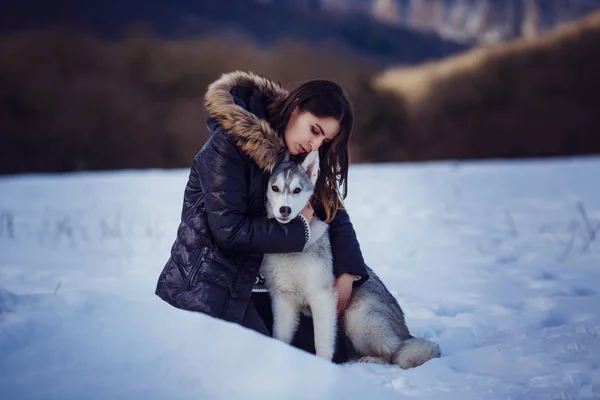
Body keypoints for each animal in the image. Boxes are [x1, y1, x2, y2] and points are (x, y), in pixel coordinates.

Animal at [262, 151, 440, 368]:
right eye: (275, 188)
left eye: (297, 190)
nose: (284, 210)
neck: (291, 246)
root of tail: (405, 332)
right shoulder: (283, 299)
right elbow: (280, 336)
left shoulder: (322, 297)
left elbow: (322, 341)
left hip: (357, 318)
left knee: (393, 353)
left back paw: (373, 359)